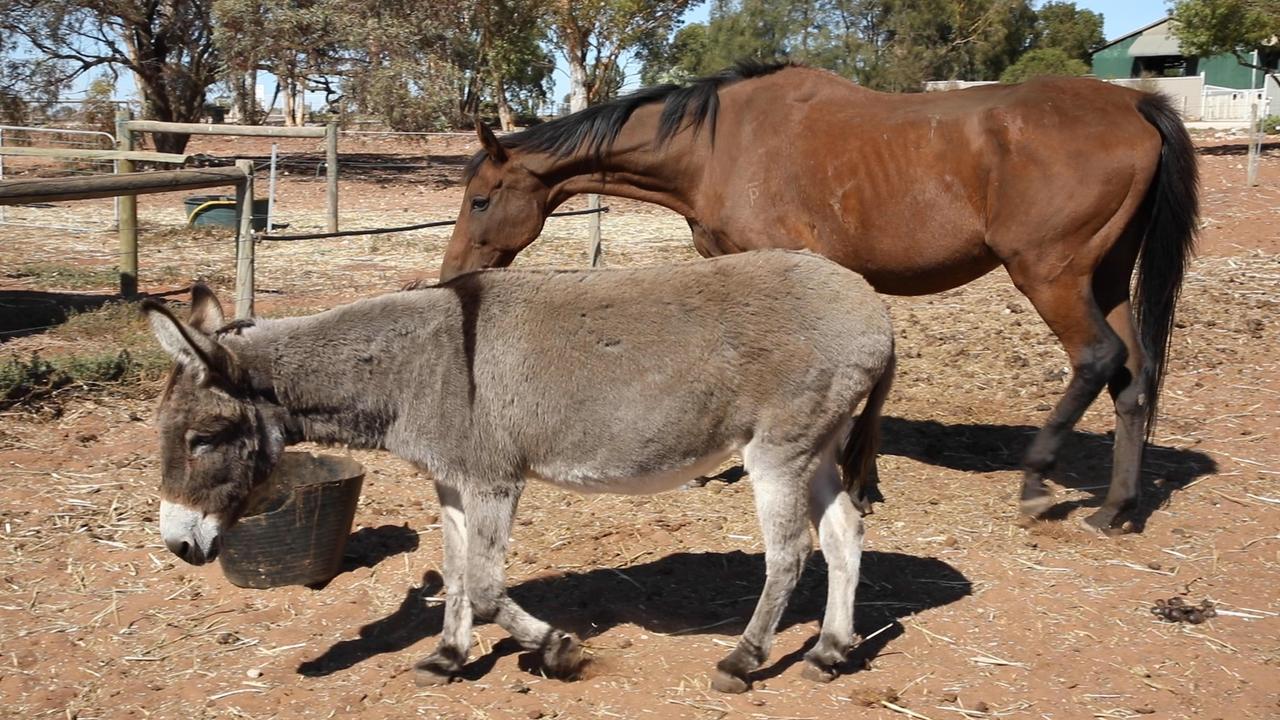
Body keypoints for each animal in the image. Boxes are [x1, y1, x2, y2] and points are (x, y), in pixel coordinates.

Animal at [440, 63, 1198, 532]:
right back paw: (1115, 508)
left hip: (1050, 276)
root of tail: (1134, 103)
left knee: (1097, 359)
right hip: (1105, 279)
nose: (451, 274)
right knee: (1134, 379)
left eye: (480, 199)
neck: (717, 145)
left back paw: (1038, 481)